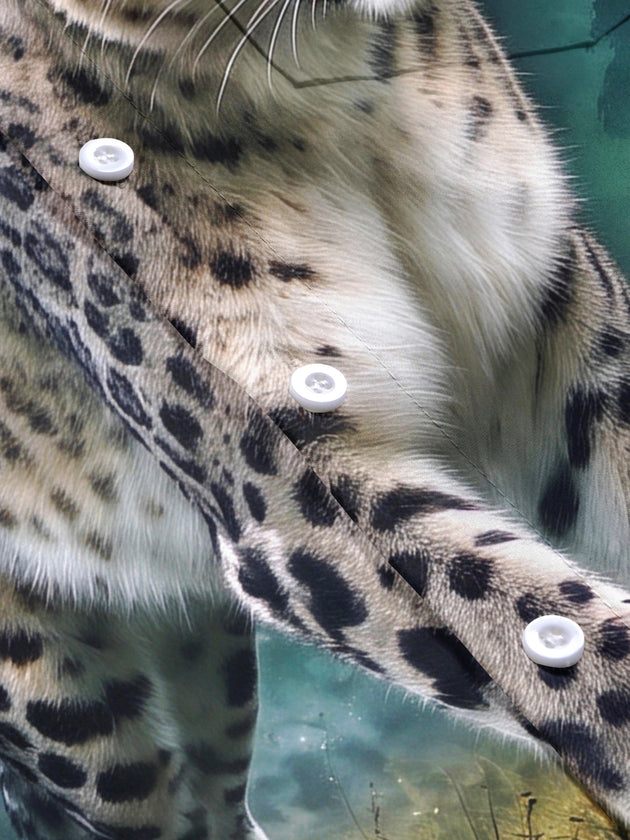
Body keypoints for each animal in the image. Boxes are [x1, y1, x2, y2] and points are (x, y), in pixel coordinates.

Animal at [0, 0, 630, 837]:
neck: (339, 101)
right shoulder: (286, 477)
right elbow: (540, 621)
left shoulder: (560, 317)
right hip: (70, 713)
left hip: (209, 669)